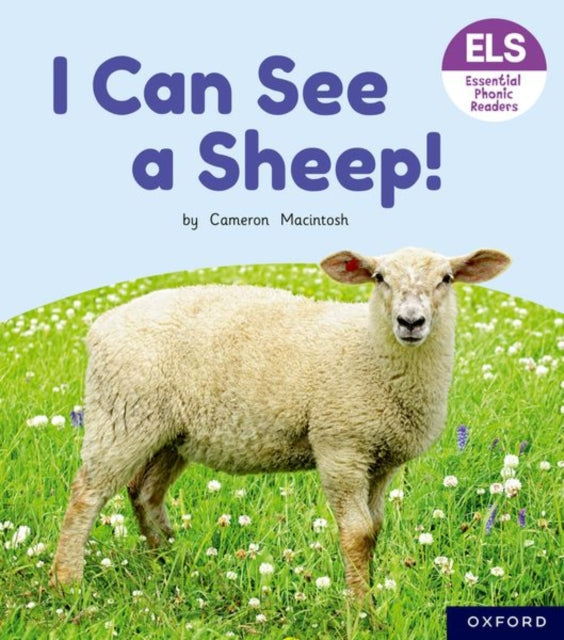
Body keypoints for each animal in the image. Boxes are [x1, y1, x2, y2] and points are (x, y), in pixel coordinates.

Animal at [49, 247, 510, 597]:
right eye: (379, 277)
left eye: (447, 278)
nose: (411, 322)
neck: (369, 351)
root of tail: (100, 325)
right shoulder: (341, 446)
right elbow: (358, 534)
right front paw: (361, 609)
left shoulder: (381, 459)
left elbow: (376, 529)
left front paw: (370, 595)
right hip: (122, 415)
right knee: (87, 495)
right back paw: (67, 583)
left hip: (171, 432)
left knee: (144, 492)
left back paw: (170, 560)